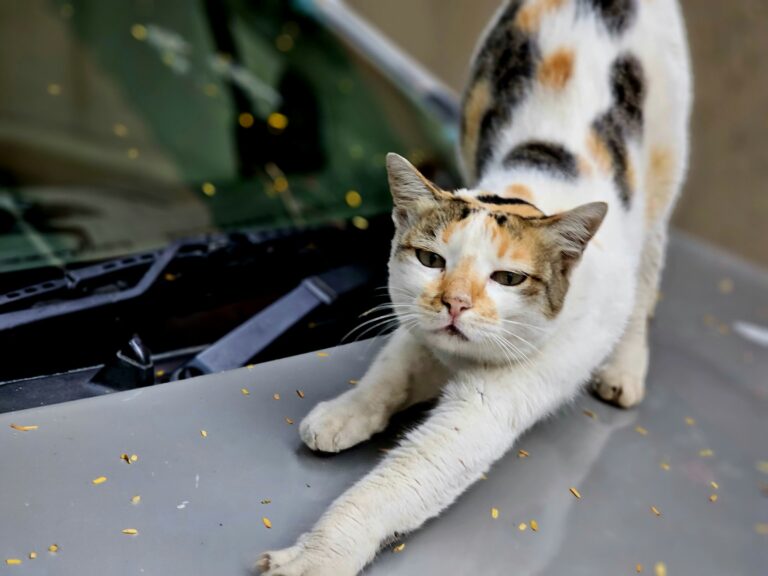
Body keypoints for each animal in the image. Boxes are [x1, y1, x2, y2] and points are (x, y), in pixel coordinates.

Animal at [256, 1, 688, 572]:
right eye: (430, 259)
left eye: (508, 278)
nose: (455, 304)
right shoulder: (418, 331)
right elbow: (391, 370)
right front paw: (347, 412)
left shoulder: (489, 406)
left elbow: (393, 485)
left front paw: (316, 557)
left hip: (664, 165)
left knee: (648, 273)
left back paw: (624, 368)